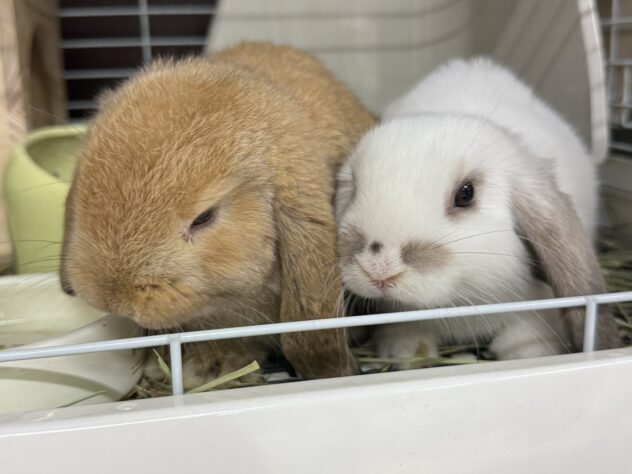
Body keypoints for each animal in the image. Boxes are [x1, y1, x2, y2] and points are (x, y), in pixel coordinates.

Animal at [336, 57, 621, 364]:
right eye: (354, 186)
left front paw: (526, 355)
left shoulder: (535, 313)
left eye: (465, 194)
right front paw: (408, 352)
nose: (379, 270)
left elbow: (524, 337)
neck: (460, 302)